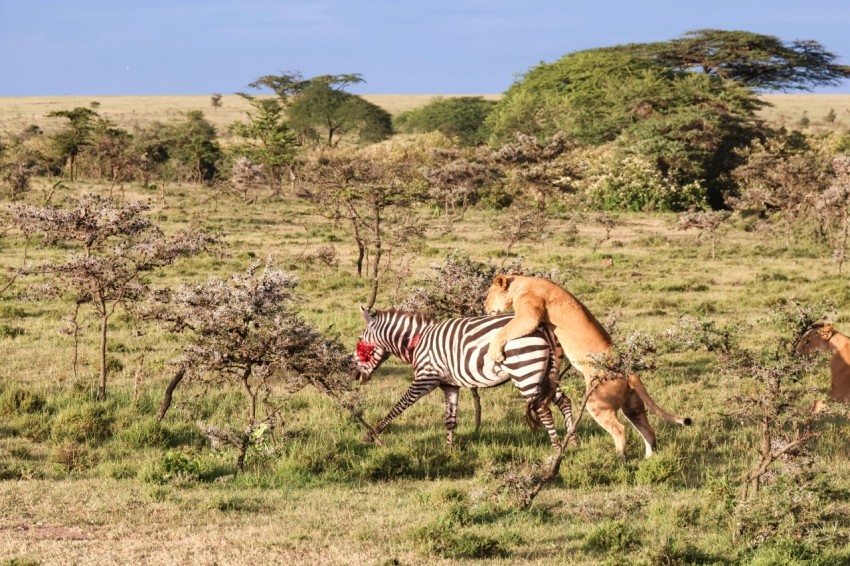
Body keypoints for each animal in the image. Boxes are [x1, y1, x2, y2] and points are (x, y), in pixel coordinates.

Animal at [352, 308, 576, 450]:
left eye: (360, 340)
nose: (355, 375)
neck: (418, 341)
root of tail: (541, 327)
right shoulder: (450, 386)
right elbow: (450, 420)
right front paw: (448, 450)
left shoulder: (425, 379)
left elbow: (399, 406)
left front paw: (372, 433)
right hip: (546, 374)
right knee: (564, 401)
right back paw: (572, 442)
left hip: (526, 372)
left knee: (543, 410)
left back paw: (556, 450)